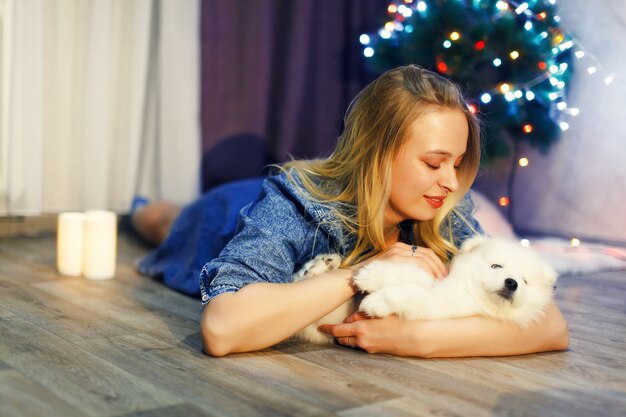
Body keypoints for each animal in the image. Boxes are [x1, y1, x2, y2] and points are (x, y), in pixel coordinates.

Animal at [292, 236, 556, 342]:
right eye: (496, 266)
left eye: (525, 281)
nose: (512, 282)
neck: (466, 291)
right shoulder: (433, 278)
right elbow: (404, 272)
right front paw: (371, 276)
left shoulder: (434, 307)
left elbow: (409, 293)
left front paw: (376, 302)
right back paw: (320, 266)